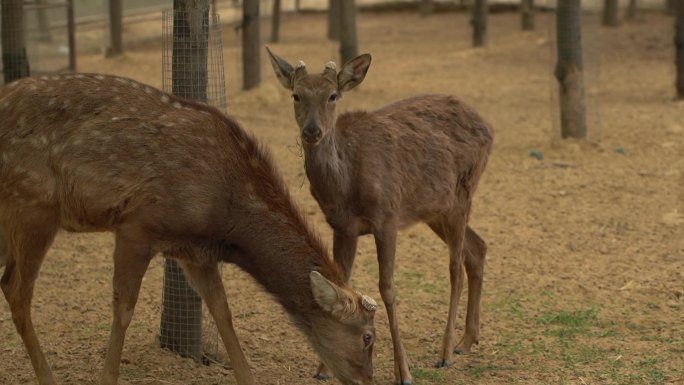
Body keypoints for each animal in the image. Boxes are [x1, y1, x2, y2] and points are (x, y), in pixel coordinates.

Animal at [0, 73, 380, 384]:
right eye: (368, 337)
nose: (366, 379)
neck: (227, 222)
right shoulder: (138, 224)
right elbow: (124, 307)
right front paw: (107, 377)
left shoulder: (193, 251)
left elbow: (222, 310)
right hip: (34, 201)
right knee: (17, 288)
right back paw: (47, 376)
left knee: (6, 281)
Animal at [264, 48, 494, 384]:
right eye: (296, 95)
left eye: (332, 95)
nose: (312, 131)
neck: (346, 185)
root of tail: (489, 127)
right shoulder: (342, 226)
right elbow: (341, 282)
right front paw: (323, 369)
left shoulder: (387, 216)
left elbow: (388, 288)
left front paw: (404, 372)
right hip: (434, 207)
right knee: (477, 248)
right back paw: (468, 340)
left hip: (463, 193)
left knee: (455, 267)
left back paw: (446, 352)